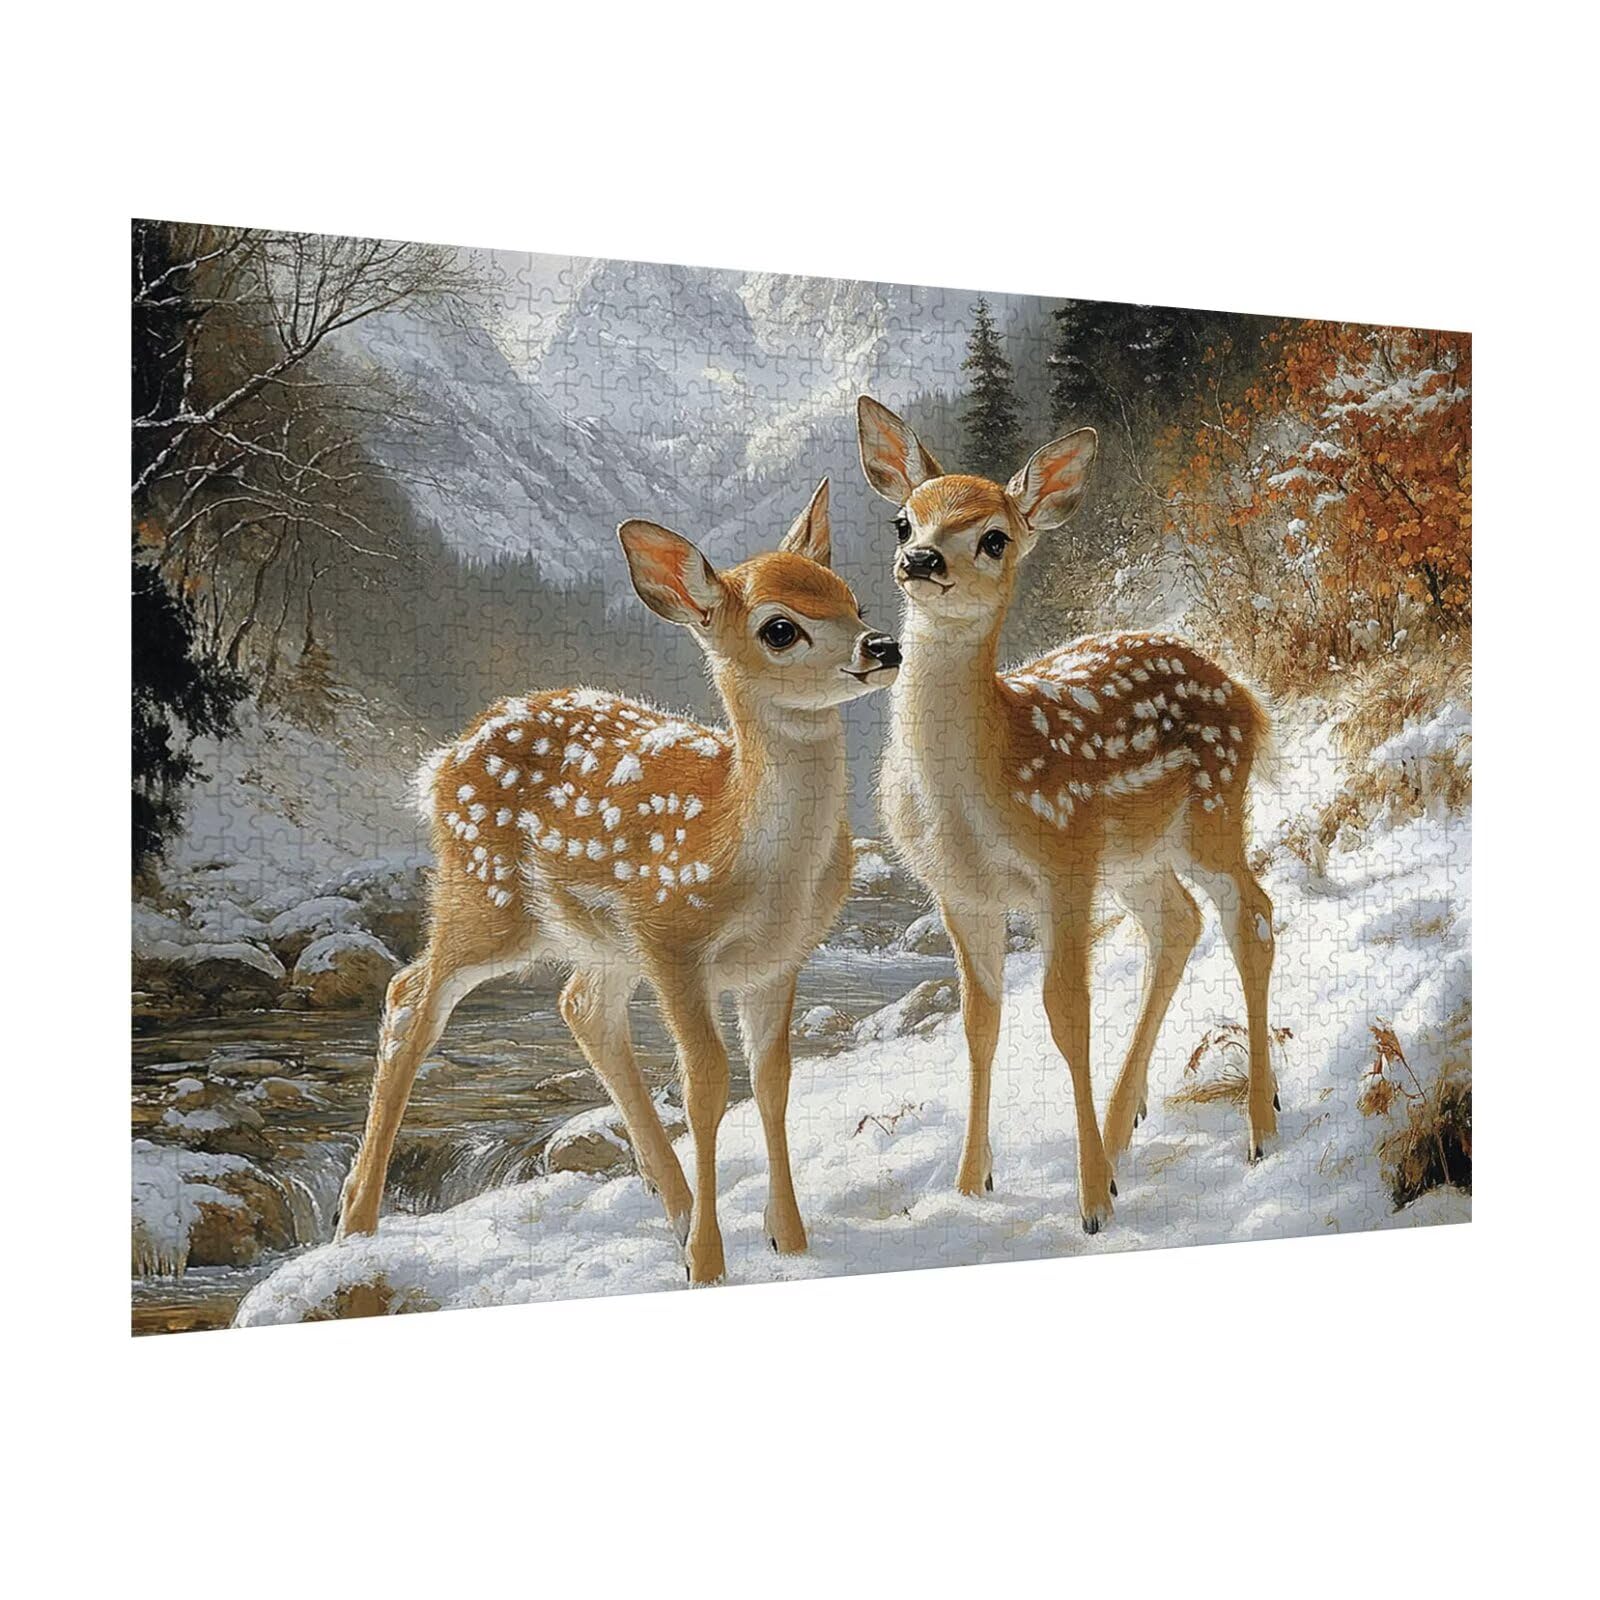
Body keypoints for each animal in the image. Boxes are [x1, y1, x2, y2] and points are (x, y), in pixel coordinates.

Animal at [336, 479, 901, 1283]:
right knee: (410, 994)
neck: (751, 856)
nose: (882, 646)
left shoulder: (779, 959)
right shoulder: (674, 940)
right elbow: (706, 1085)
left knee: (580, 1006)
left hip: (599, 937)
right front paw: (711, 1263)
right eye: (780, 628)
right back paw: (354, 1222)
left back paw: (675, 1209)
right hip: (486, 893)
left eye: (853, 598)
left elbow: (772, 1081)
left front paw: (790, 1242)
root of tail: (443, 758)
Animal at [856, 397, 1278, 1234]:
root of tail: (1246, 695)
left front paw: (1089, 1205)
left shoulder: (1062, 864)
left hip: (1211, 814)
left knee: (1252, 915)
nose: (921, 561)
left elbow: (1066, 1013)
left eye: (994, 536)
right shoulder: (958, 890)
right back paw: (1122, 1135)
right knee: (1178, 924)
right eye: (903, 519)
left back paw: (1257, 1128)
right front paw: (970, 1184)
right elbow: (980, 1020)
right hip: (1137, 857)